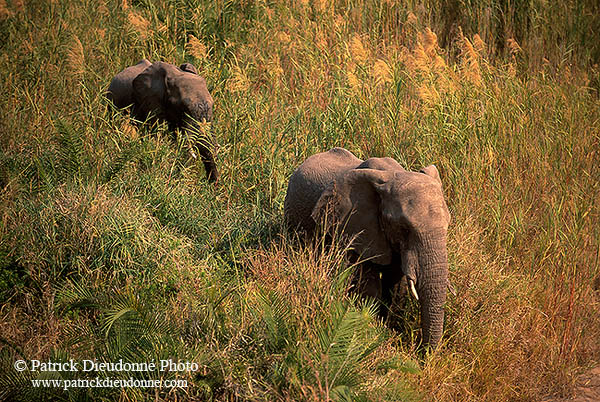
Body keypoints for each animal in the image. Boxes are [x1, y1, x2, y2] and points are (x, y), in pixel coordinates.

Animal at [284, 148, 450, 348]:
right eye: (404, 228)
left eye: (448, 225)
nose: (421, 351)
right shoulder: (354, 226)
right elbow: (367, 282)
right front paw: (376, 328)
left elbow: (396, 285)